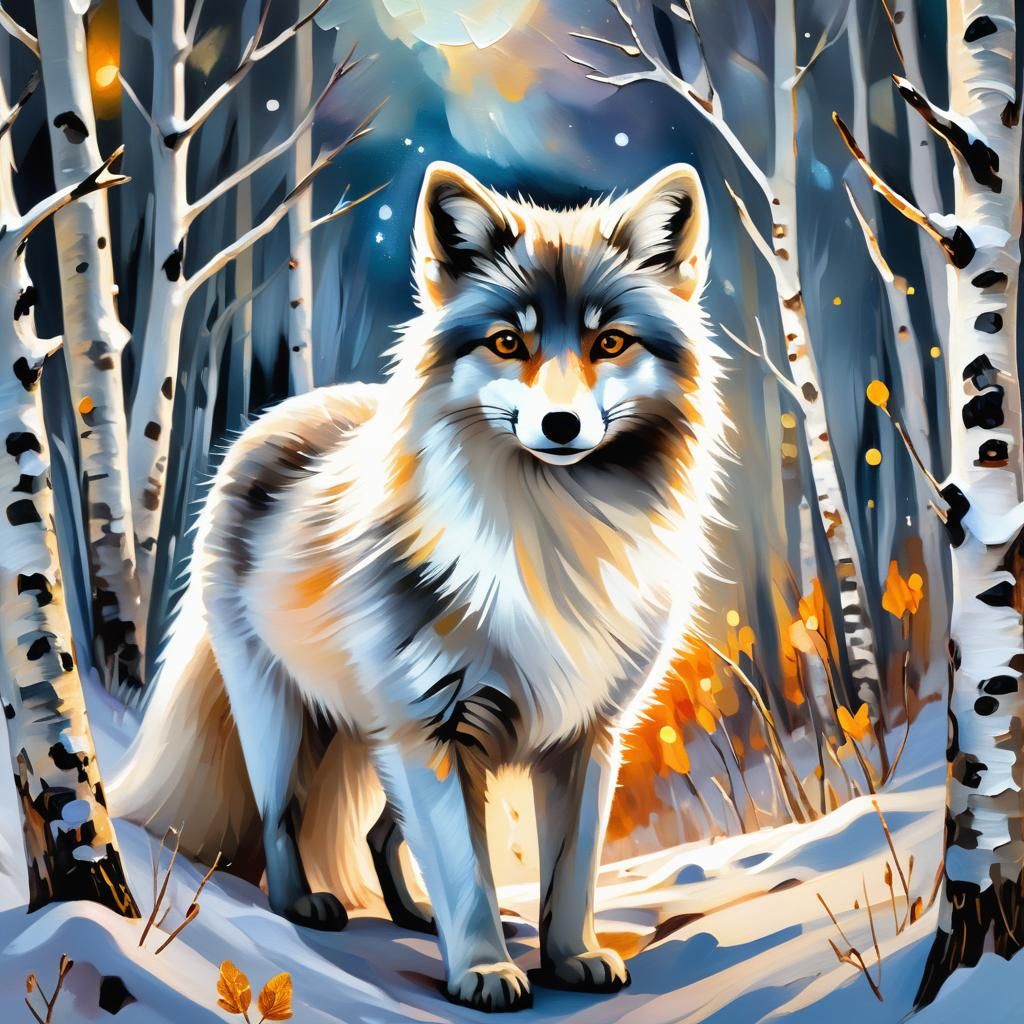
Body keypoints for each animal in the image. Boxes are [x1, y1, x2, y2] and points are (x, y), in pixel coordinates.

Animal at [110, 160, 725, 1012]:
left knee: (377, 834)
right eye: (508, 342)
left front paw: (571, 958)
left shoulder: (584, 737)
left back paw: (409, 911)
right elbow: (467, 872)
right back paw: (302, 905)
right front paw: (486, 971)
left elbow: (570, 875)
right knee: (279, 818)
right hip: (289, 722)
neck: (548, 548)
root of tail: (277, 417)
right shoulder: (431, 729)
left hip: (379, 741)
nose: (561, 426)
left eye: (610, 341)